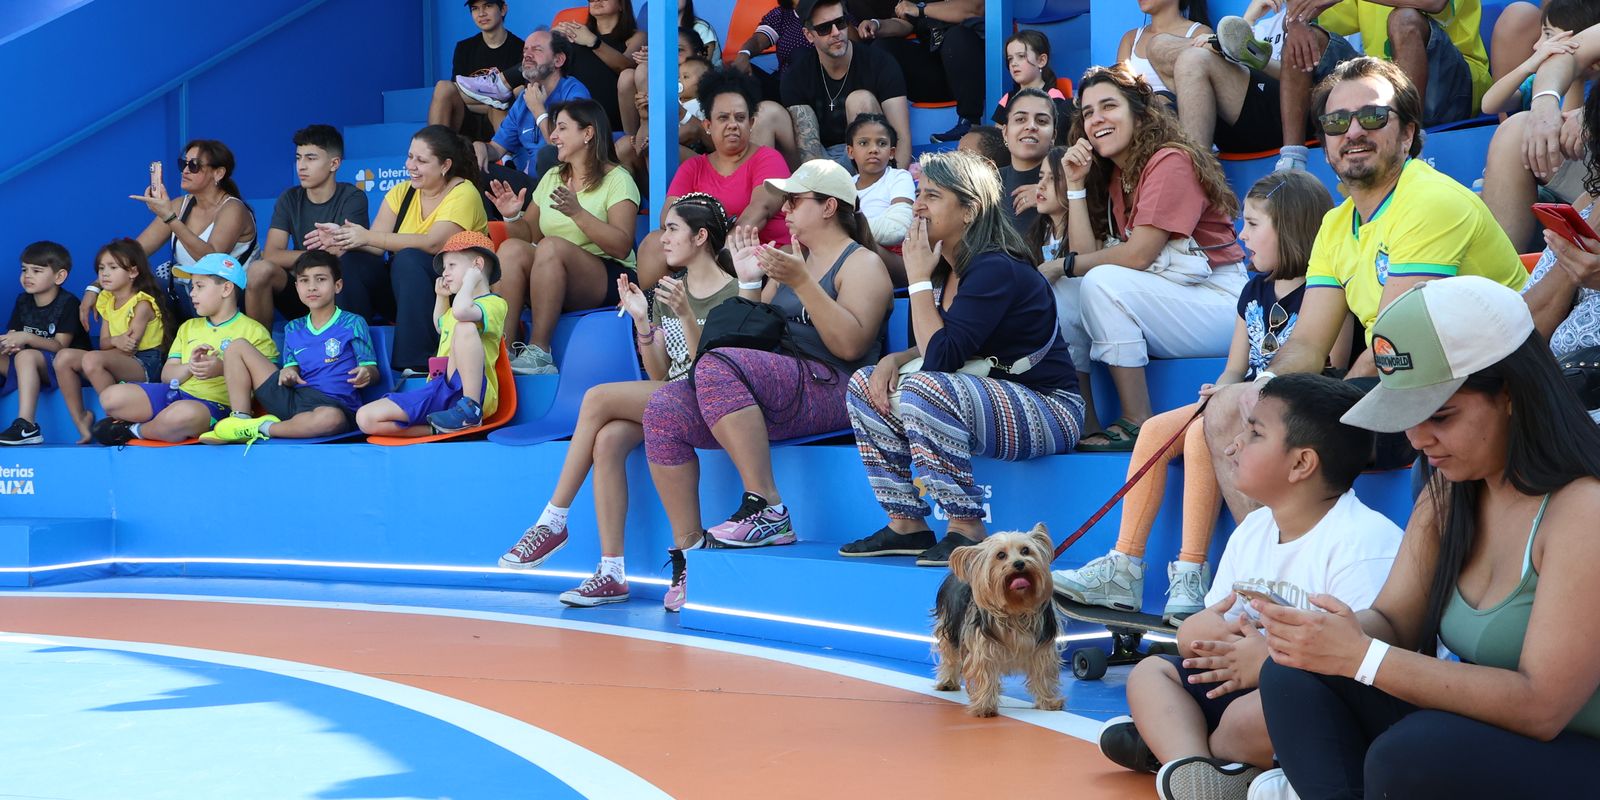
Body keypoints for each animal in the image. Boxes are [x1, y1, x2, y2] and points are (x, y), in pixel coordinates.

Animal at [934, 524, 1056, 720]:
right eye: (1000, 555)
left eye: (1025, 550)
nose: (1019, 563)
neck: (1016, 610)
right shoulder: (983, 648)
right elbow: (985, 673)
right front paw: (985, 707)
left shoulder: (1042, 648)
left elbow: (1043, 672)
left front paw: (1049, 702)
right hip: (949, 627)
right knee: (950, 655)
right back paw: (947, 681)